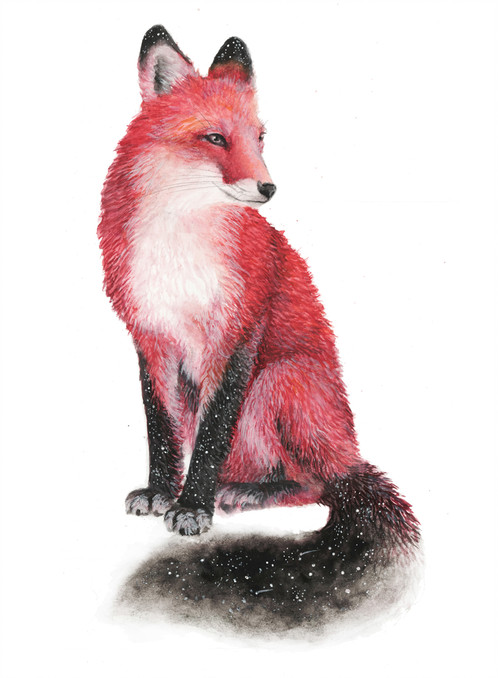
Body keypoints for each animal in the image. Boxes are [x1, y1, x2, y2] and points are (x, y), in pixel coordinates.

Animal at [98, 25, 420, 565]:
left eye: (260, 138)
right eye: (215, 138)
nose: (268, 188)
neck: (179, 248)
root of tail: (347, 450)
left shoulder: (237, 333)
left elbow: (211, 435)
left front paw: (192, 508)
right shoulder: (150, 335)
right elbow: (160, 428)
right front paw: (163, 491)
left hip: (276, 381)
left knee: (318, 486)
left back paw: (244, 494)